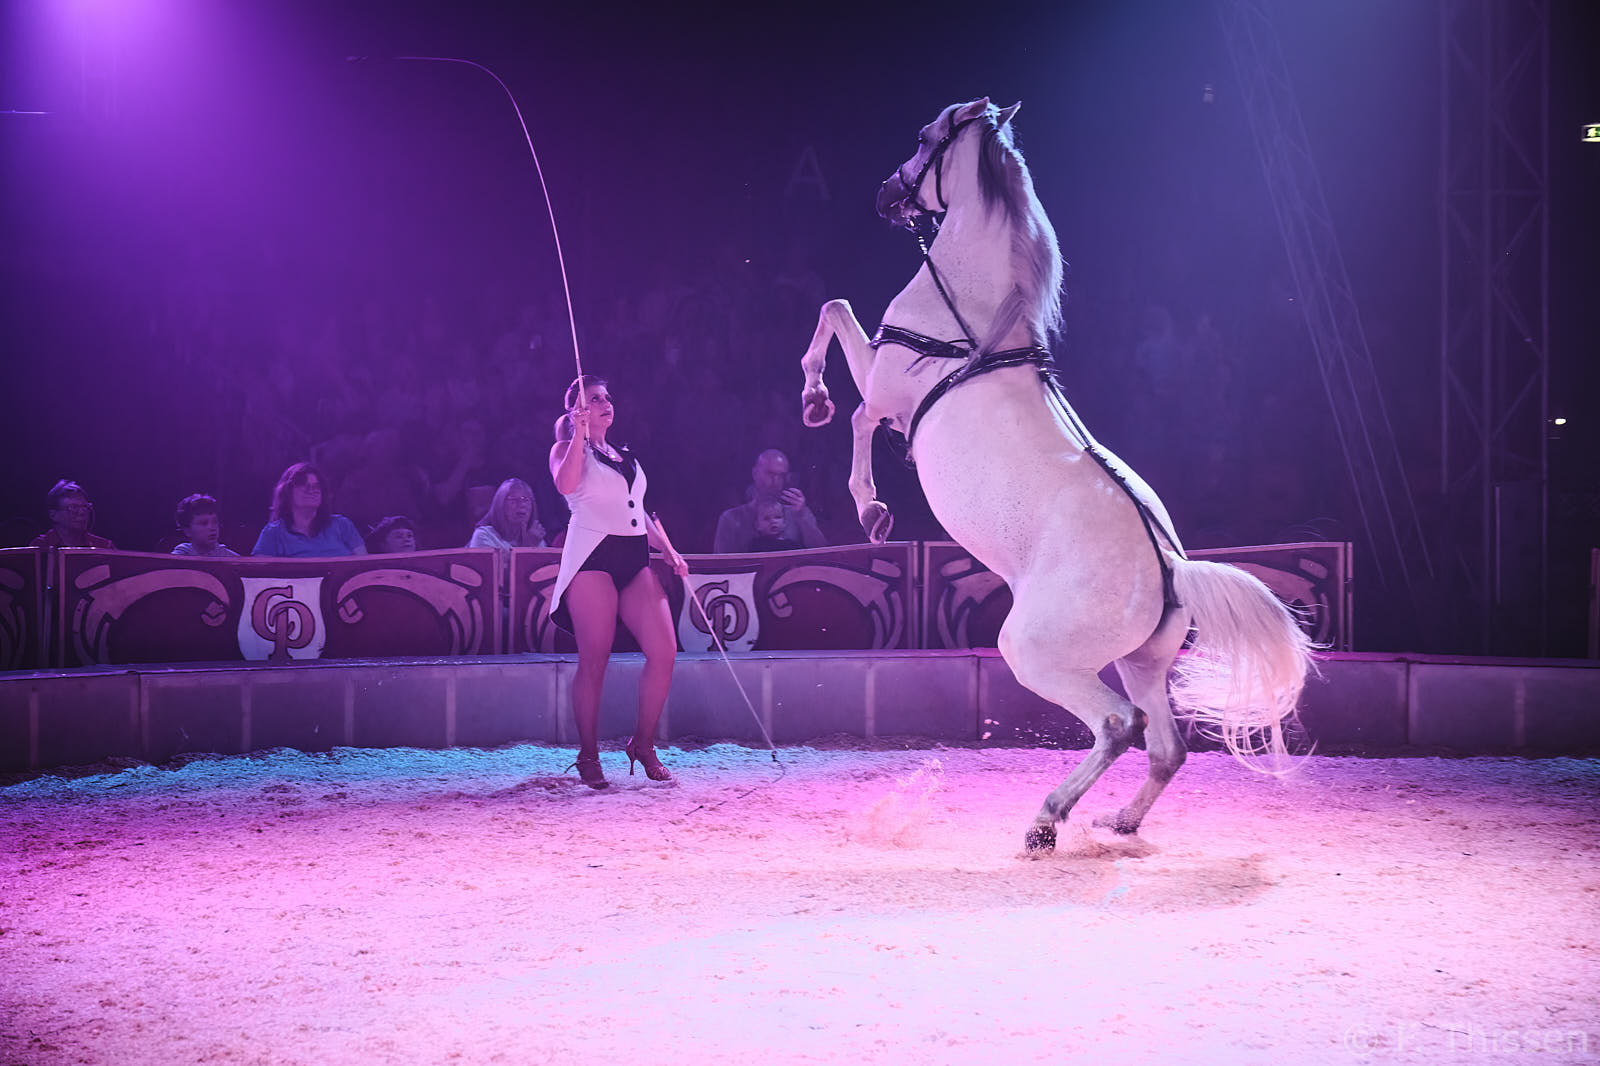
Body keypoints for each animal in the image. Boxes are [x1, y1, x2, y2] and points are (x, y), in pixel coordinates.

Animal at [798, 98, 1314, 851]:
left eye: (923, 139)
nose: (886, 194)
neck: (974, 316)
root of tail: (1172, 568)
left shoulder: (885, 386)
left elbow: (845, 363)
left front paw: (855, 481)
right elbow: (841, 340)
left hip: (1036, 652)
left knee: (1117, 725)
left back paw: (1047, 820)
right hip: (1140, 662)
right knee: (1166, 747)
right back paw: (1117, 821)